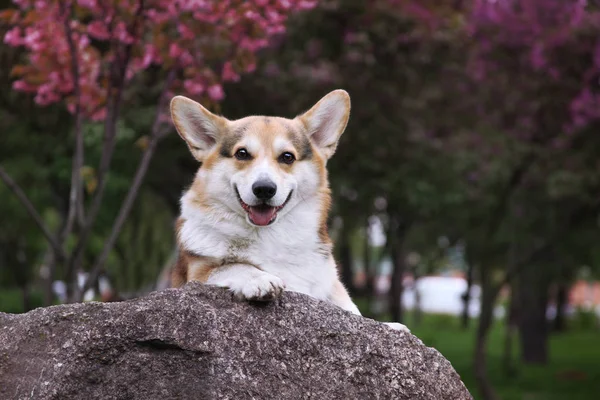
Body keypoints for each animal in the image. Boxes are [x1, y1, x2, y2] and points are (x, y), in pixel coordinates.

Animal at [170, 90, 408, 332]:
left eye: (287, 157)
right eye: (242, 154)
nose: (264, 189)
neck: (273, 236)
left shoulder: (331, 287)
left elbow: (353, 311)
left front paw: (388, 326)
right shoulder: (198, 273)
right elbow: (234, 266)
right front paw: (259, 278)